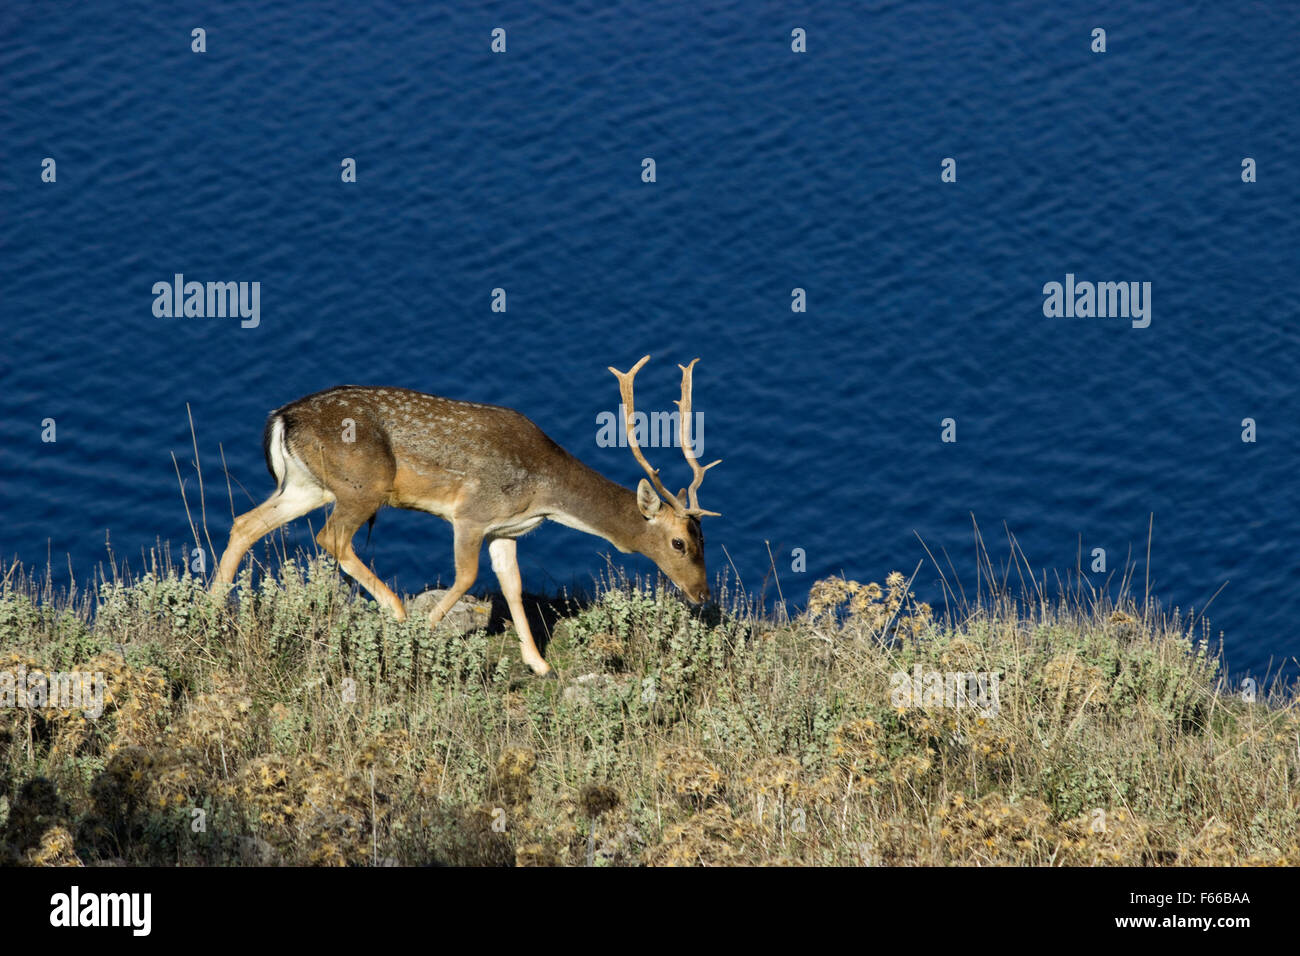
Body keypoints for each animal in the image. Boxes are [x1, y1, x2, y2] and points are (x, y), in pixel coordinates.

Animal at [213, 356, 722, 676]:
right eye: (678, 542)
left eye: (706, 541)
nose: (702, 595)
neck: (545, 493)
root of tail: (282, 418)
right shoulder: (472, 514)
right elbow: (466, 576)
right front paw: (426, 630)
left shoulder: (506, 530)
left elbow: (512, 586)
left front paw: (539, 663)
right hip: (362, 485)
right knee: (330, 538)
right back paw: (397, 611)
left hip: (305, 485)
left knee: (245, 523)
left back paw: (212, 608)